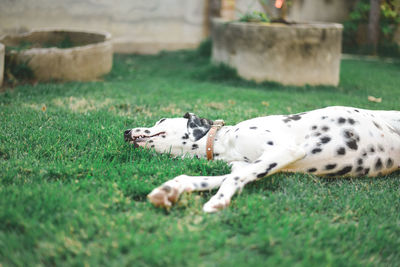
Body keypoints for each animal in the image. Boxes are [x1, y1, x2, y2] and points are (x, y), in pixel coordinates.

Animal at [124, 107, 400, 214]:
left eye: (160, 121)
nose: (125, 132)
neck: (225, 143)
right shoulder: (248, 167)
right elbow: (213, 179)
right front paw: (171, 189)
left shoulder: (283, 151)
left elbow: (232, 179)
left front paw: (218, 201)